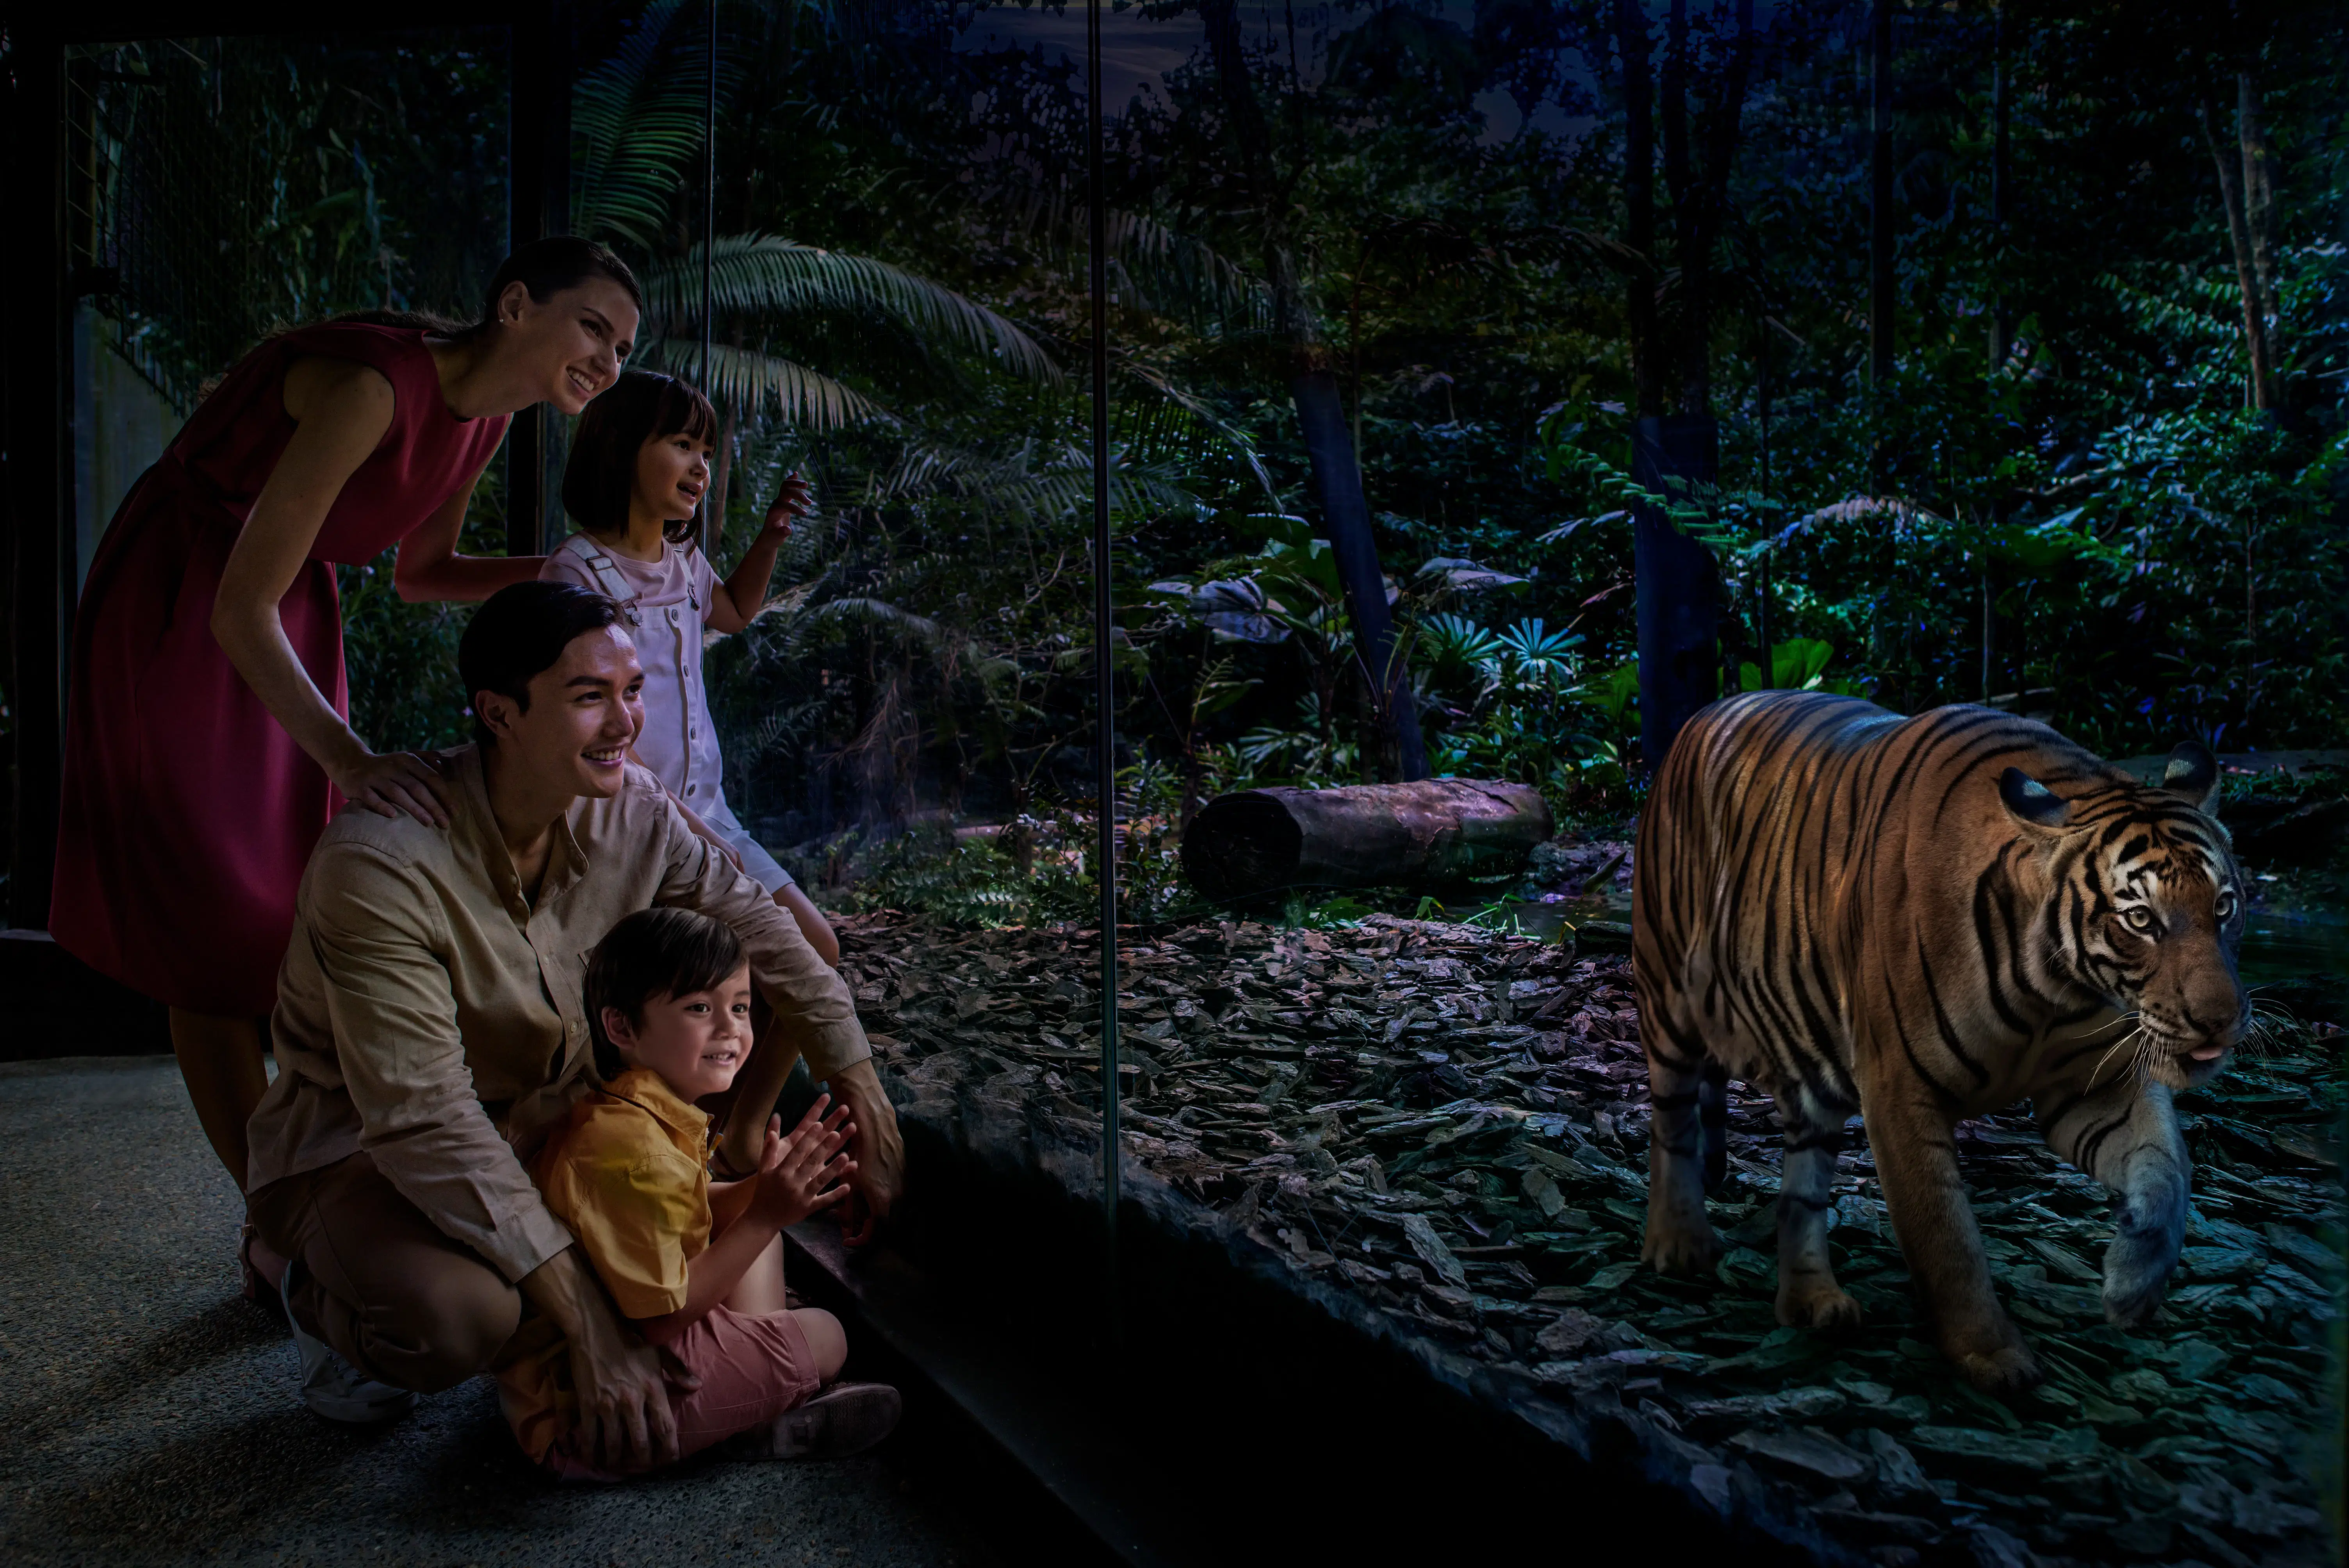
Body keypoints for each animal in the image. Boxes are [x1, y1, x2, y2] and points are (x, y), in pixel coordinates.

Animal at [1625, 690, 2246, 1390]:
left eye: (2223, 907)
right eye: (2140, 919)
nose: (2221, 1020)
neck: (2054, 989)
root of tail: (1704, 716)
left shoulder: (2094, 1085)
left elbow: (2168, 1171)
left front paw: (2133, 1285)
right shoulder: (1899, 1091)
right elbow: (1946, 1235)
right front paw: (1992, 1356)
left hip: (1811, 1071)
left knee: (1801, 1191)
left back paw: (1813, 1301)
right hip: (1668, 995)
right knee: (1671, 1124)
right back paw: (1680, 1243)